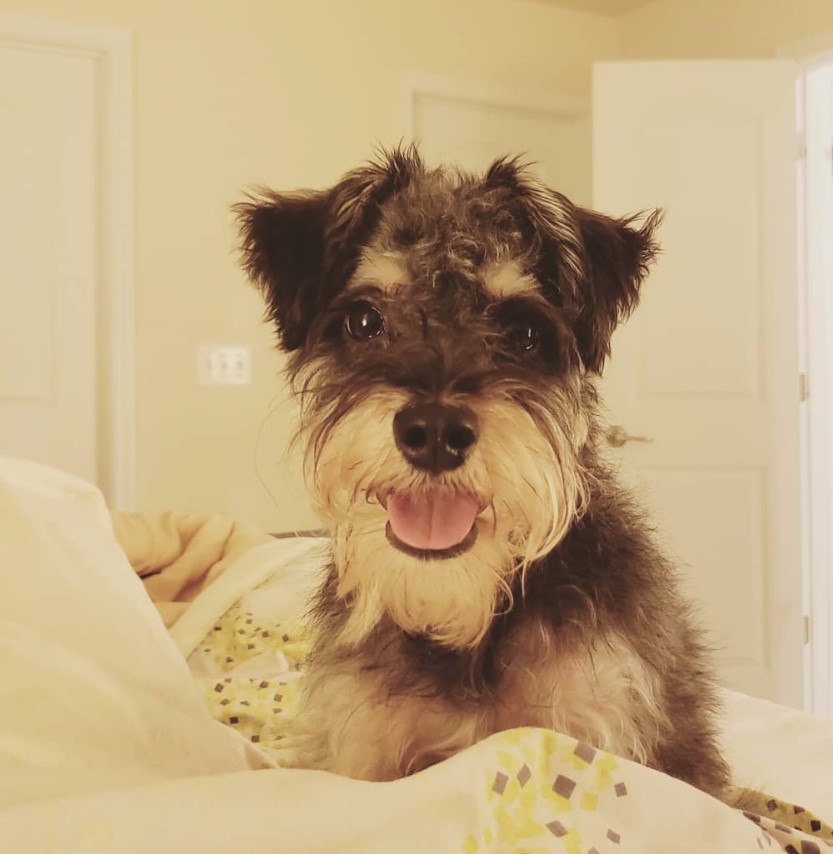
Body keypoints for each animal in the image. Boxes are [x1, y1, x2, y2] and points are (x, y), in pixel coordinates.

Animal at [232, 144, 728, 800]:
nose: (434, 433)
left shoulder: (598, 728)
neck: (465, 625)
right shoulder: (364, 753)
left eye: (524, 333)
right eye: (364, 320)